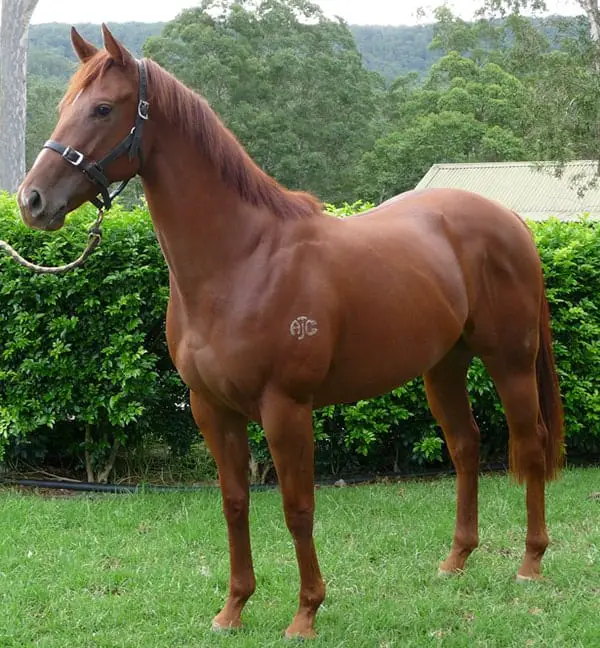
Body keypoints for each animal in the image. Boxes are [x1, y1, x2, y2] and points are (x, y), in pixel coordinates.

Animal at [17, 24, 564, 636]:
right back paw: (455, 560)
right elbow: (234, 503)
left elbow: (297, 507)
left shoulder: (286, 407)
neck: (242, 261)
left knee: (531, 444)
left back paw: (530, 562)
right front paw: (232, 608)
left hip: (510, 362)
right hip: (444, 366)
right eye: (64, 107)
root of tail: (510, 220)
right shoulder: (211, 408)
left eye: (103, 108)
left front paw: (305, 612)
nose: (31, 200)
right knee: (466, 447)